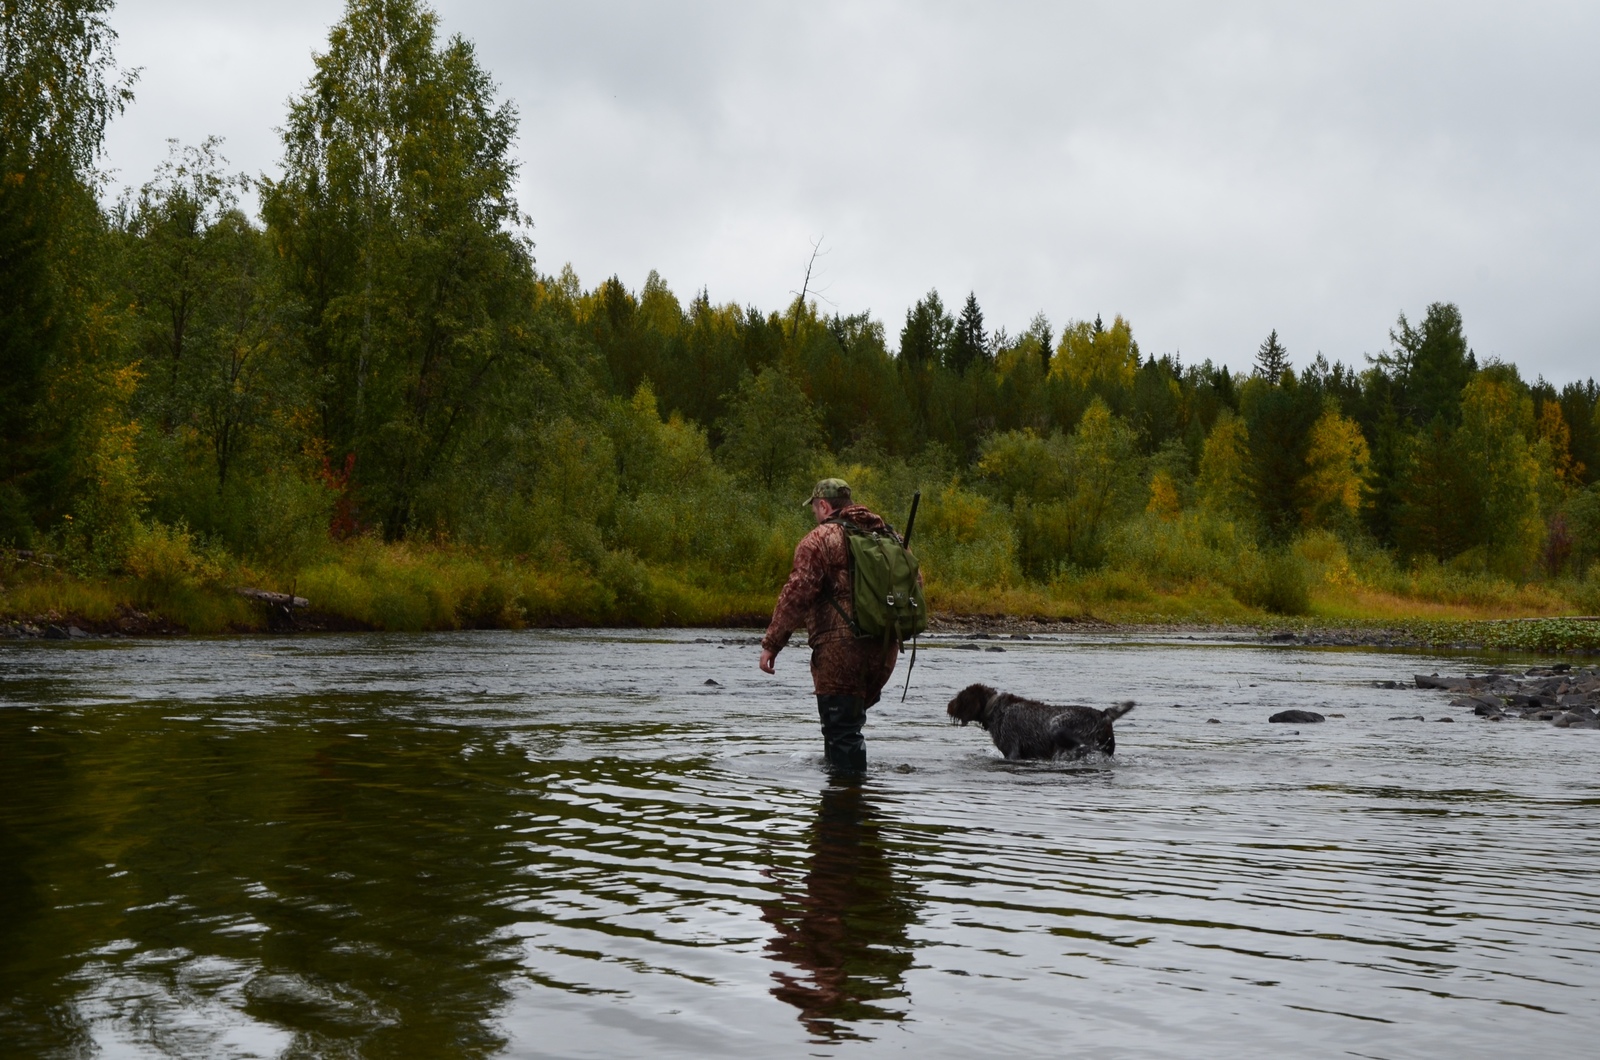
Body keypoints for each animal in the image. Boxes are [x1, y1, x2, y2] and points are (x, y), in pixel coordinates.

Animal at [940, 685, 1132, 758]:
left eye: (960, 697)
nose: (948, 706)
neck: (995, 709)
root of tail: (1102, 715)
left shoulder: (1012, 751)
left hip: (1058, 728)